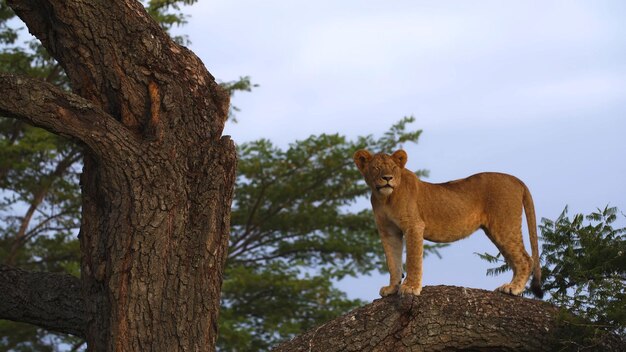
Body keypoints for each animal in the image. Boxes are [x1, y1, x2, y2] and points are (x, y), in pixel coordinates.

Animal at [352, 148, 540, 296]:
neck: (385, 198)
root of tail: (516, 180)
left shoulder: (414, 226)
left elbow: (413, 259)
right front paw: (392, 288)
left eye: (393, 167)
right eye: (376, 168)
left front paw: (410, 288)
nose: (387, 178)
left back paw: (513, 288)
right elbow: (393, 261)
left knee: (526, 259)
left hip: (504, 225)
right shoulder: (388, 231)